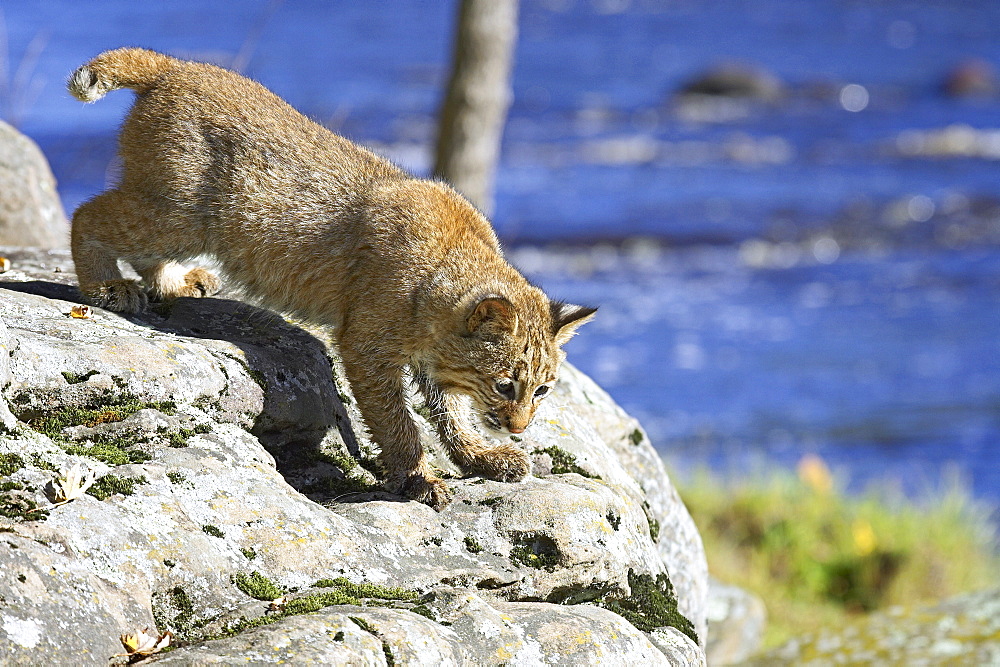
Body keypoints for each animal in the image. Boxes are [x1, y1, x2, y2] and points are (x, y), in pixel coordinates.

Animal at [68, 48, 592, 506]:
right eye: (505, 385)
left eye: (543, 390)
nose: (519, 429)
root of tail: (176, 65)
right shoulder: (365, 346)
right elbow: (397, 421)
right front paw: (419, 479)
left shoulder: (426, 359)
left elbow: (452, 414)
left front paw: (480, 458)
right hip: (182, 214)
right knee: (86, 212)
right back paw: (107, 287)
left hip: (182, 220)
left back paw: (173, 283)